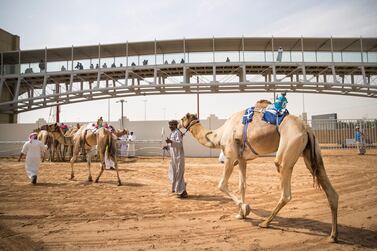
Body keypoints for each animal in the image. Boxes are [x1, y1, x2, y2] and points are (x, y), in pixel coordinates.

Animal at [178, 100, 338, 243]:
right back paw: (333, 236)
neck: (219, 135)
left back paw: (265, 223)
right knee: (330, 191)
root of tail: (306, 128)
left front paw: (245, 208)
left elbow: (221, 184)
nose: (175, 124)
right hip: (311, 154)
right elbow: (242, 185)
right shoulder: (242, 159)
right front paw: (241, 214)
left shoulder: (230, 156)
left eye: (182, 118)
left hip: (288, 148)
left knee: (285, 190)